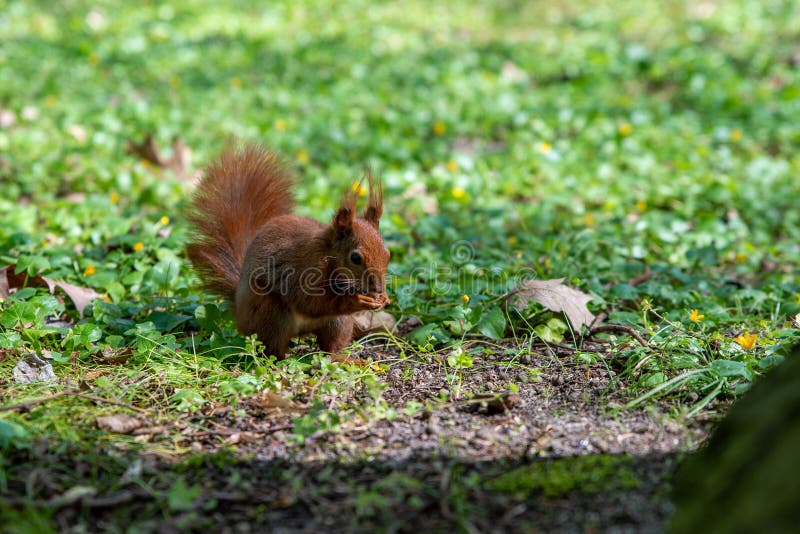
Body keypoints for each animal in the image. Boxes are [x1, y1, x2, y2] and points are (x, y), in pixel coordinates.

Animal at [186, 144, 391, 359]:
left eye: (388, 254)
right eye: (355, 257)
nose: (378, 289)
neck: (329, 256)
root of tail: (240, 313)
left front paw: (384, 299)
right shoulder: (304, 268)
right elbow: (312, 301)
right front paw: (358, 300)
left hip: (338, 323)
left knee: (332, 345)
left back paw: (346, 359)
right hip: (272, 315)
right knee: (272, 350)